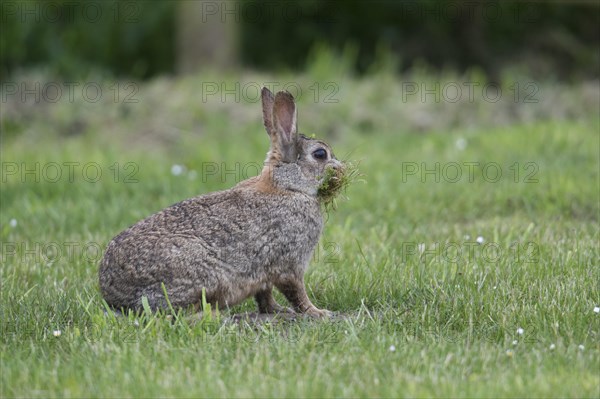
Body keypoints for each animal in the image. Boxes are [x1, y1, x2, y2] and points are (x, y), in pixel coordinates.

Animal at [98, 88, 342, 318]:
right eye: (320, 154)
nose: (341, 168)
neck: (288, 186)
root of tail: (115, 297)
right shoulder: (289, 262)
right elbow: (296, 292)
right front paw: (318, 313)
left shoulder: (263, 274)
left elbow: (265, 294)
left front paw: (277, 311)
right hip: (200, 274)